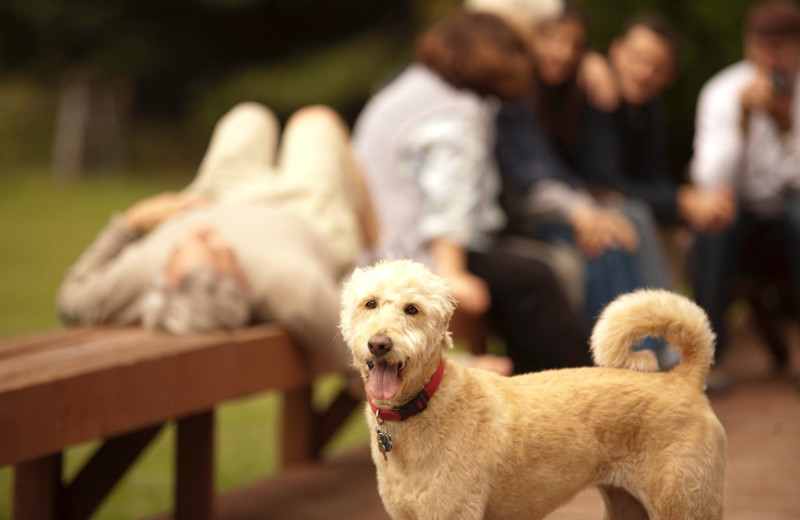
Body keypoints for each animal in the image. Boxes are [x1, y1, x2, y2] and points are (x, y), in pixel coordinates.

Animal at [340, 260, 728, 520]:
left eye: (413, 309)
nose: (379, 344)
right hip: (628, 505)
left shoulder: (453, 513)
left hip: (685, 504)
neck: (424, 407)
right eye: (370, 303)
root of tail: (682, 378)